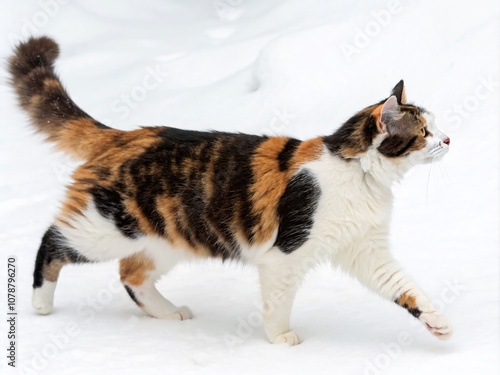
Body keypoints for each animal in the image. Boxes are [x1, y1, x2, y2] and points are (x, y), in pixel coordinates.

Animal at [8, 36, 454, 346]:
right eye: (423, 132)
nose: (449, 139)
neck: (359, 173)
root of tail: (125, 135)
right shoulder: (284, 256)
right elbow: (278, 302)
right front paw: (280, 338)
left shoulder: (366, 249)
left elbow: (403, 287)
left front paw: (436, 322)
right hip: (107, 229)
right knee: (52, 242)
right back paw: (41, 304)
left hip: (166, 238)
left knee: (131, 275)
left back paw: (167, 313)